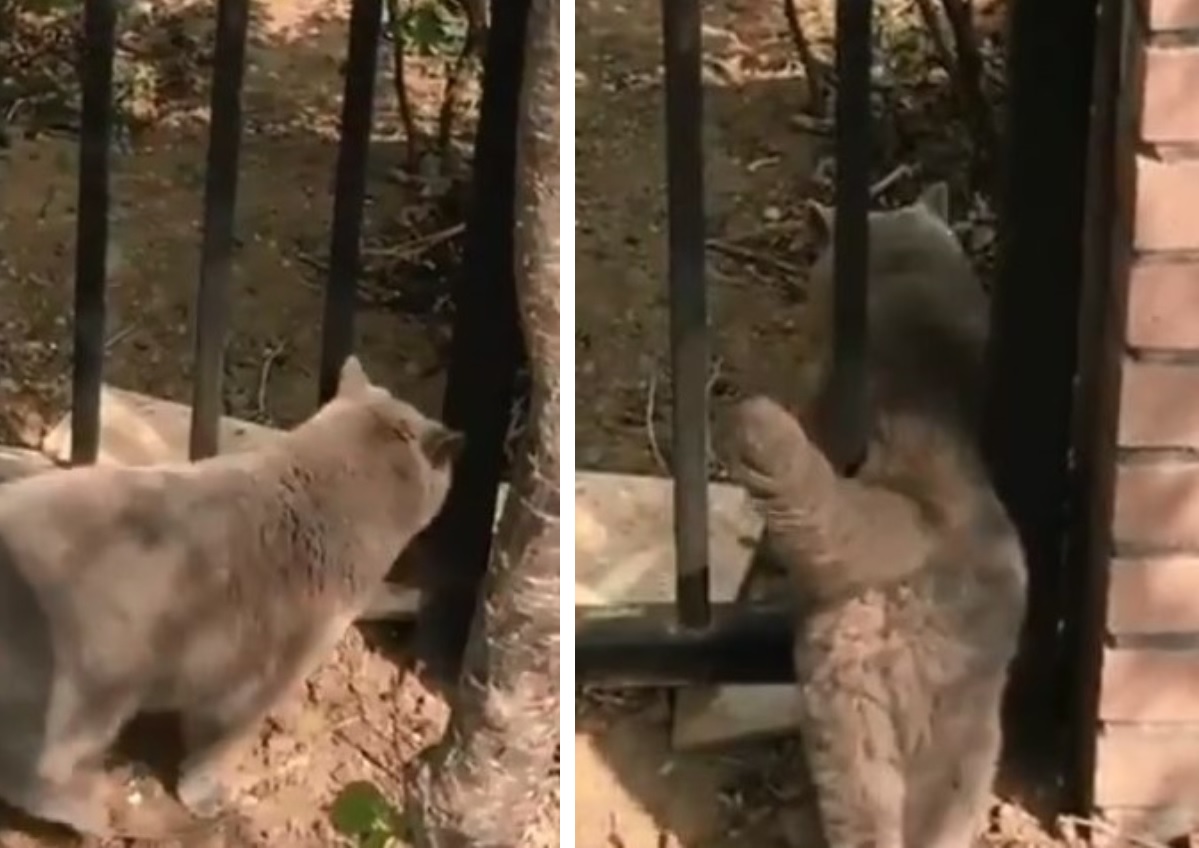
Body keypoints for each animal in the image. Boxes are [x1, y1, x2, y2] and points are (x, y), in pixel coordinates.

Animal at [0, 355, 462, 839]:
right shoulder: (261, 674)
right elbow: (220, 739)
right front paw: (207, 797)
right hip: (83, 696)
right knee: (32, 773)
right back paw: (96, 814)